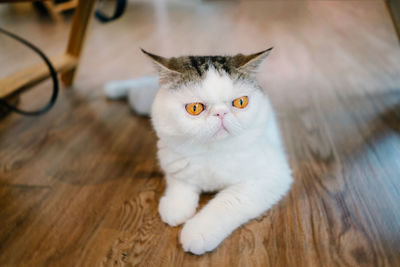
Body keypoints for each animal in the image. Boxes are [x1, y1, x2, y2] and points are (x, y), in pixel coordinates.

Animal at [106, 48, 294, 255]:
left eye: (240, 102)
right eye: (194, 108)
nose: (221, 113)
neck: (210, 151)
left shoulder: (272, 175)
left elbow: (227, 202)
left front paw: (198, 231)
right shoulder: (172, 158)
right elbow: (180, 182)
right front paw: (175, 207)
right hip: (141, 101)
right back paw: (112, 88)